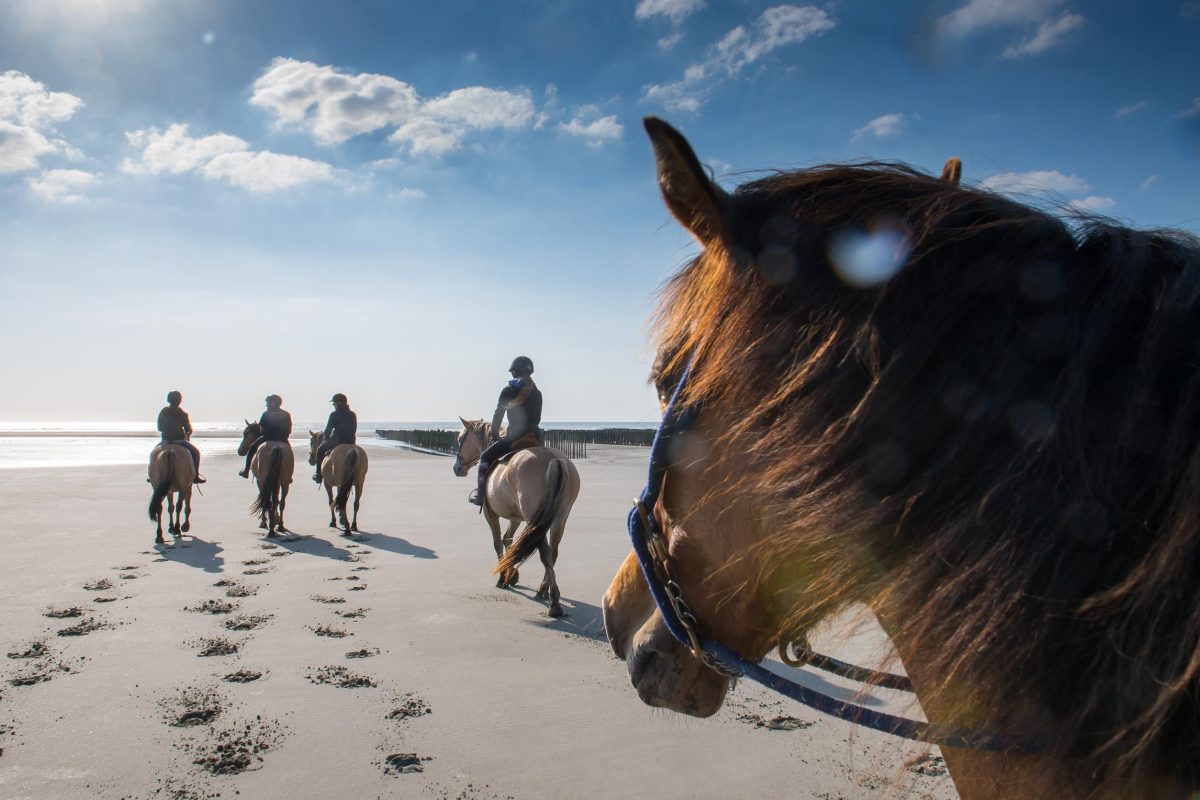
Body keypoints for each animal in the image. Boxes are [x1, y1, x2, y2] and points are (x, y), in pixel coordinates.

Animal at [452, 418, 581, 617]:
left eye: (460, 439)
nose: (457, 468)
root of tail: (552, 458)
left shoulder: (490, 514)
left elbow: (498, 542)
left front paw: (502, 576)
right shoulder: (516, 518)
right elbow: (509, 541)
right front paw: (511, 573)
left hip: (535, 519)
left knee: (545, 553)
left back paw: (554, 603)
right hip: (560, 518)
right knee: (552, 552)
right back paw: (544, 590)